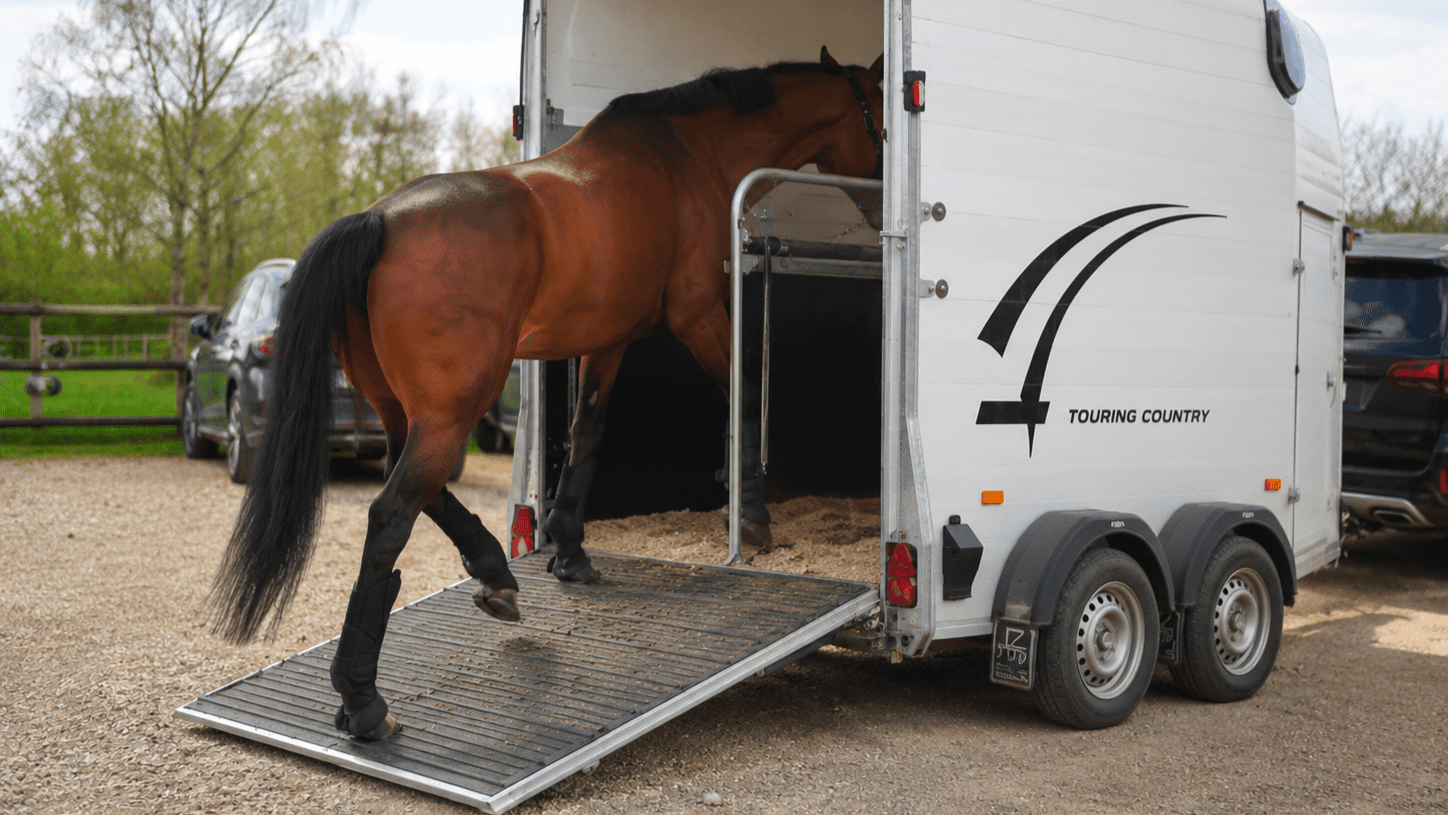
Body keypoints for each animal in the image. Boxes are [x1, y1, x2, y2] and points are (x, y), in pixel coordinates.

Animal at [206, 47, 885, 741]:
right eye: (880, 121)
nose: (886, 212)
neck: (687, 158)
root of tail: (378, 220)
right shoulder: (699, 317)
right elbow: (743, 394)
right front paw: (752, 517)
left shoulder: (607, 340)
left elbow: (588, 430)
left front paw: (569, 548)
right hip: (452, 409)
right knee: (393, 513)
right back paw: (365, 700)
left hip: (405, 411)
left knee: (423, 489)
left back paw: (494, 575)